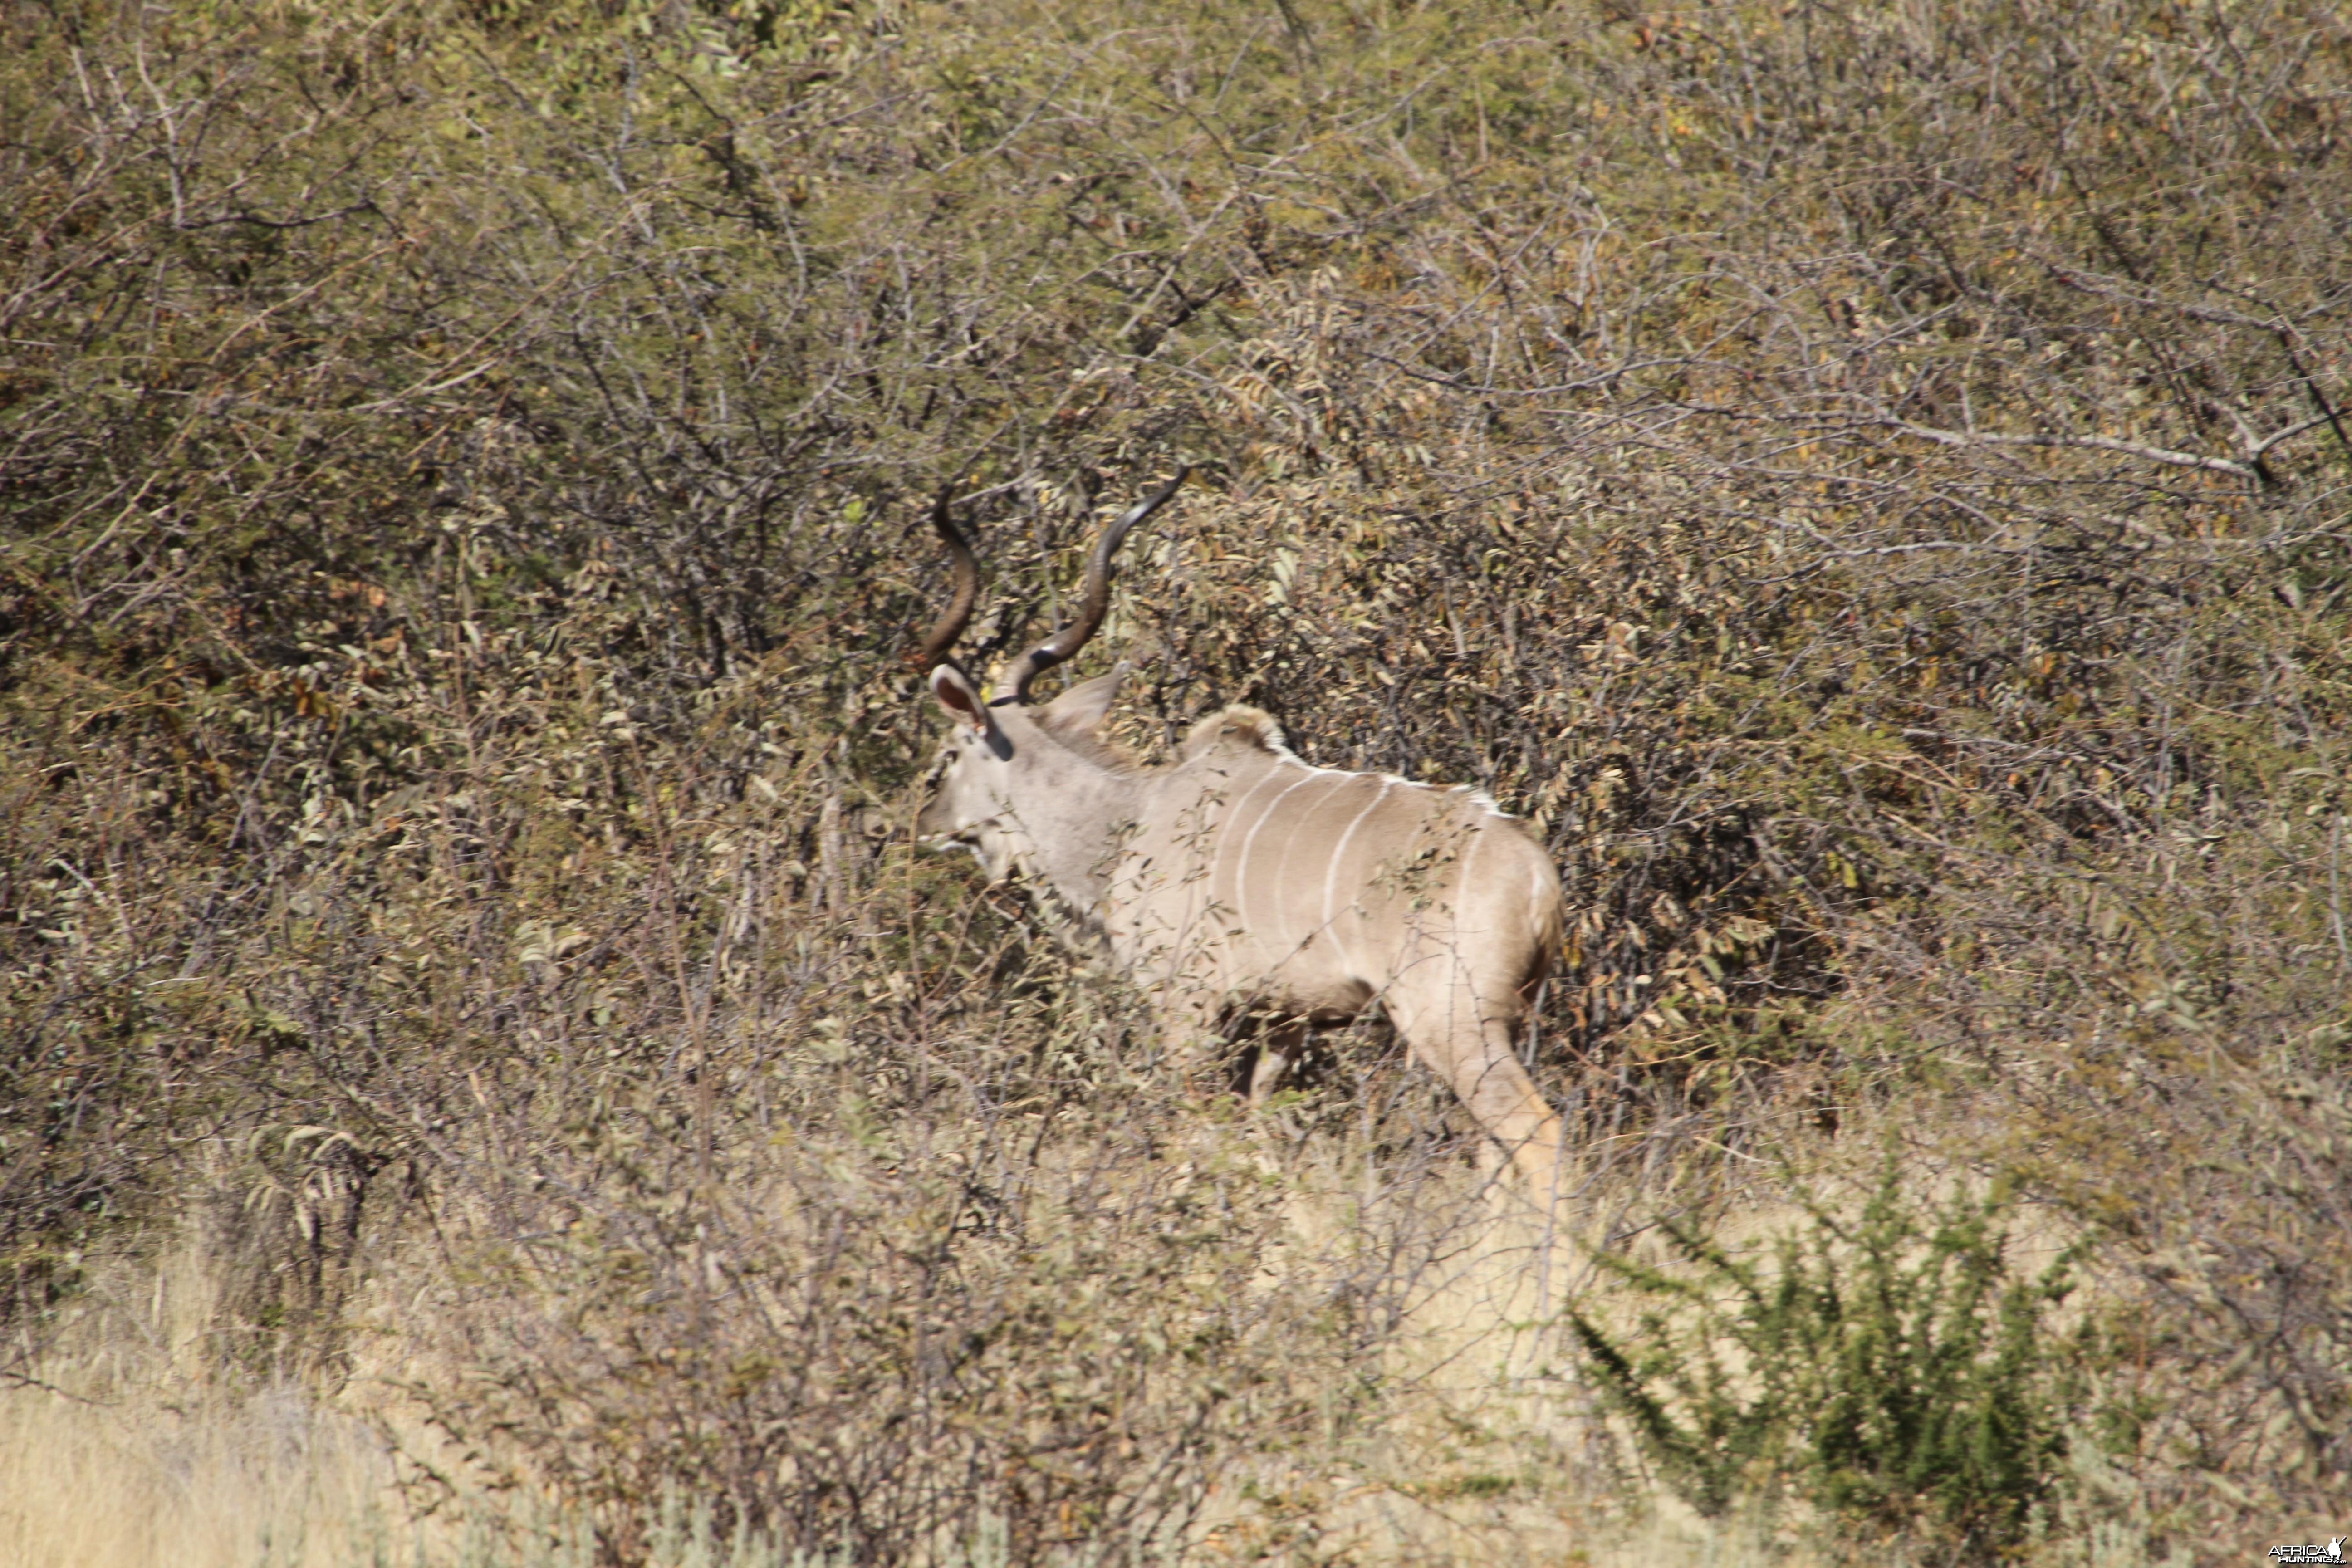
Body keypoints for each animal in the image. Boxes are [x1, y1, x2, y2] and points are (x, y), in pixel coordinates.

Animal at [912, 472, 1562, 1194]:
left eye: (948, 755)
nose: (925, 824)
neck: (1127, 821)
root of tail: (1538, 877)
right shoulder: (1285, 1020)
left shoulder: (1186, 1005)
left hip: (1455, 1021)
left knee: (1534, 1130)